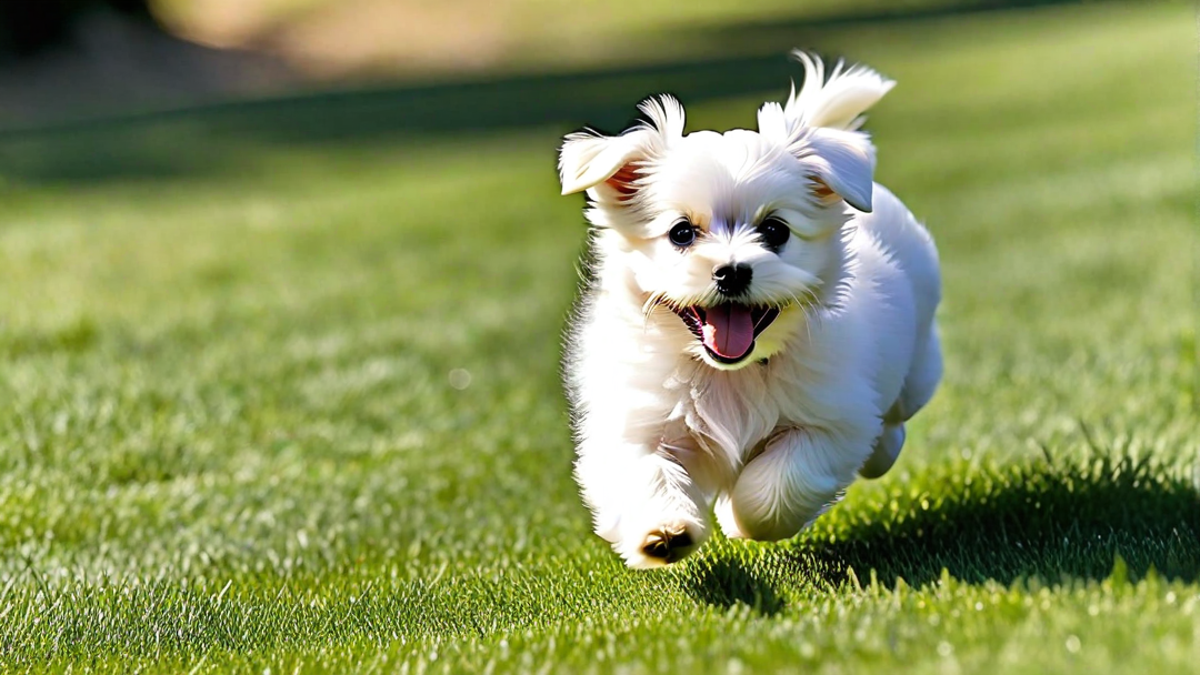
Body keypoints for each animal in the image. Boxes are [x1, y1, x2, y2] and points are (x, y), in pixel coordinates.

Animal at [556, 53, 940, 566]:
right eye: (681, 232)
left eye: (776, 230)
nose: (732, 271)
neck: (728, 374)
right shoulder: (636, 423)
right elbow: (647, 471)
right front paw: (665, 531)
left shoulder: (831, 420)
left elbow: (779, 481)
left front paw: (741, 518)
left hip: (917, 368)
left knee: (894, 415)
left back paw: (884, 448)